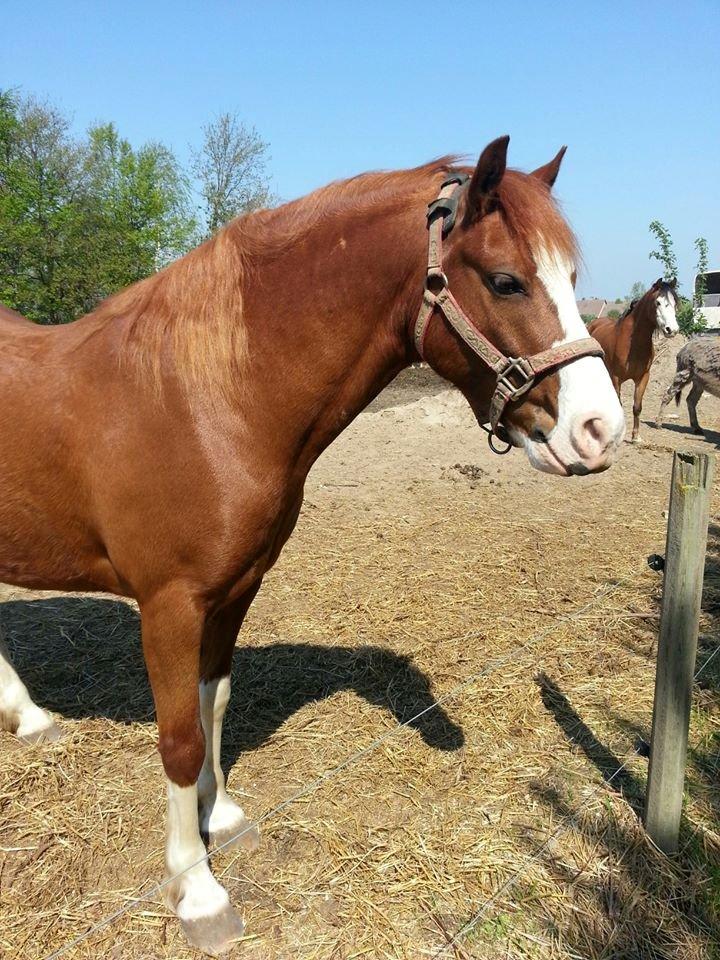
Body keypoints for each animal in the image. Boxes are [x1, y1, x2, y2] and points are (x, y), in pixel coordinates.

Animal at [0, 136, 624, 954]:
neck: (208, 396)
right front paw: (196, 888)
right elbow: (179, 737)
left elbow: (215, 703)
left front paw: (221, 816)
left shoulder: (235, 590)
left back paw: (29, 717)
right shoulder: (170, 605)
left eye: (573, 280)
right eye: (506, 280)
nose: (601, 431)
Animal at [588, 279, 679, 442]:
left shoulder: (642, 378)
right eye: (658, 302)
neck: (633, 343)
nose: (672, 329)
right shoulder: (616, 378)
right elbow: (619, 404)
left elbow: (637, 407)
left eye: (675, 302)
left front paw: (636, 437)